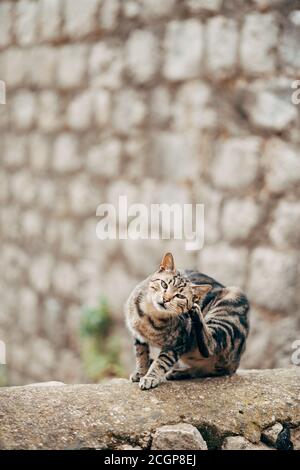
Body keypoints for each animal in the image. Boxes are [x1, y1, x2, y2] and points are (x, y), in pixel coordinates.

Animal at [125, 253, 250, 390]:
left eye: (179, 296)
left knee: (211, 346)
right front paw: (141, 372)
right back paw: (177, 373)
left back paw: (196, 312)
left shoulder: (177, 343)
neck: (151, 316)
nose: (165, 299)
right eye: (164, 284)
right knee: (207, 370)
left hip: (230, 304)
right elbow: (141, 354)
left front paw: (150, 377)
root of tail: (236, 362)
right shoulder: (138, 336)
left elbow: (161, 362)